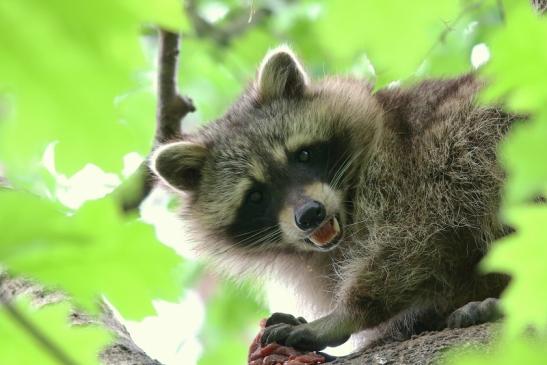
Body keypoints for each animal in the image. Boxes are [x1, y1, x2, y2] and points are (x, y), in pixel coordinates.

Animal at [152, 45, 516, 350]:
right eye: (256, 195)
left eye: (303, 155)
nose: (310, 214)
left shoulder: (407, 168)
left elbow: (414, 237)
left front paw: (349, 314)